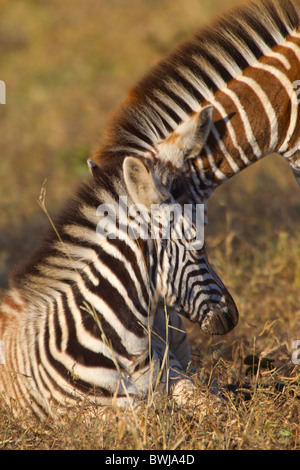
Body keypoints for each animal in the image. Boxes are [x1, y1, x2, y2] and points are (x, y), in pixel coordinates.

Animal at [0, 108, 239, 420]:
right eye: (198, 249)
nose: (233, 315)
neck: (126, 347)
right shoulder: (83, 413)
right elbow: (147, 415)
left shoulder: (173, 374)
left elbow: (207, 401)